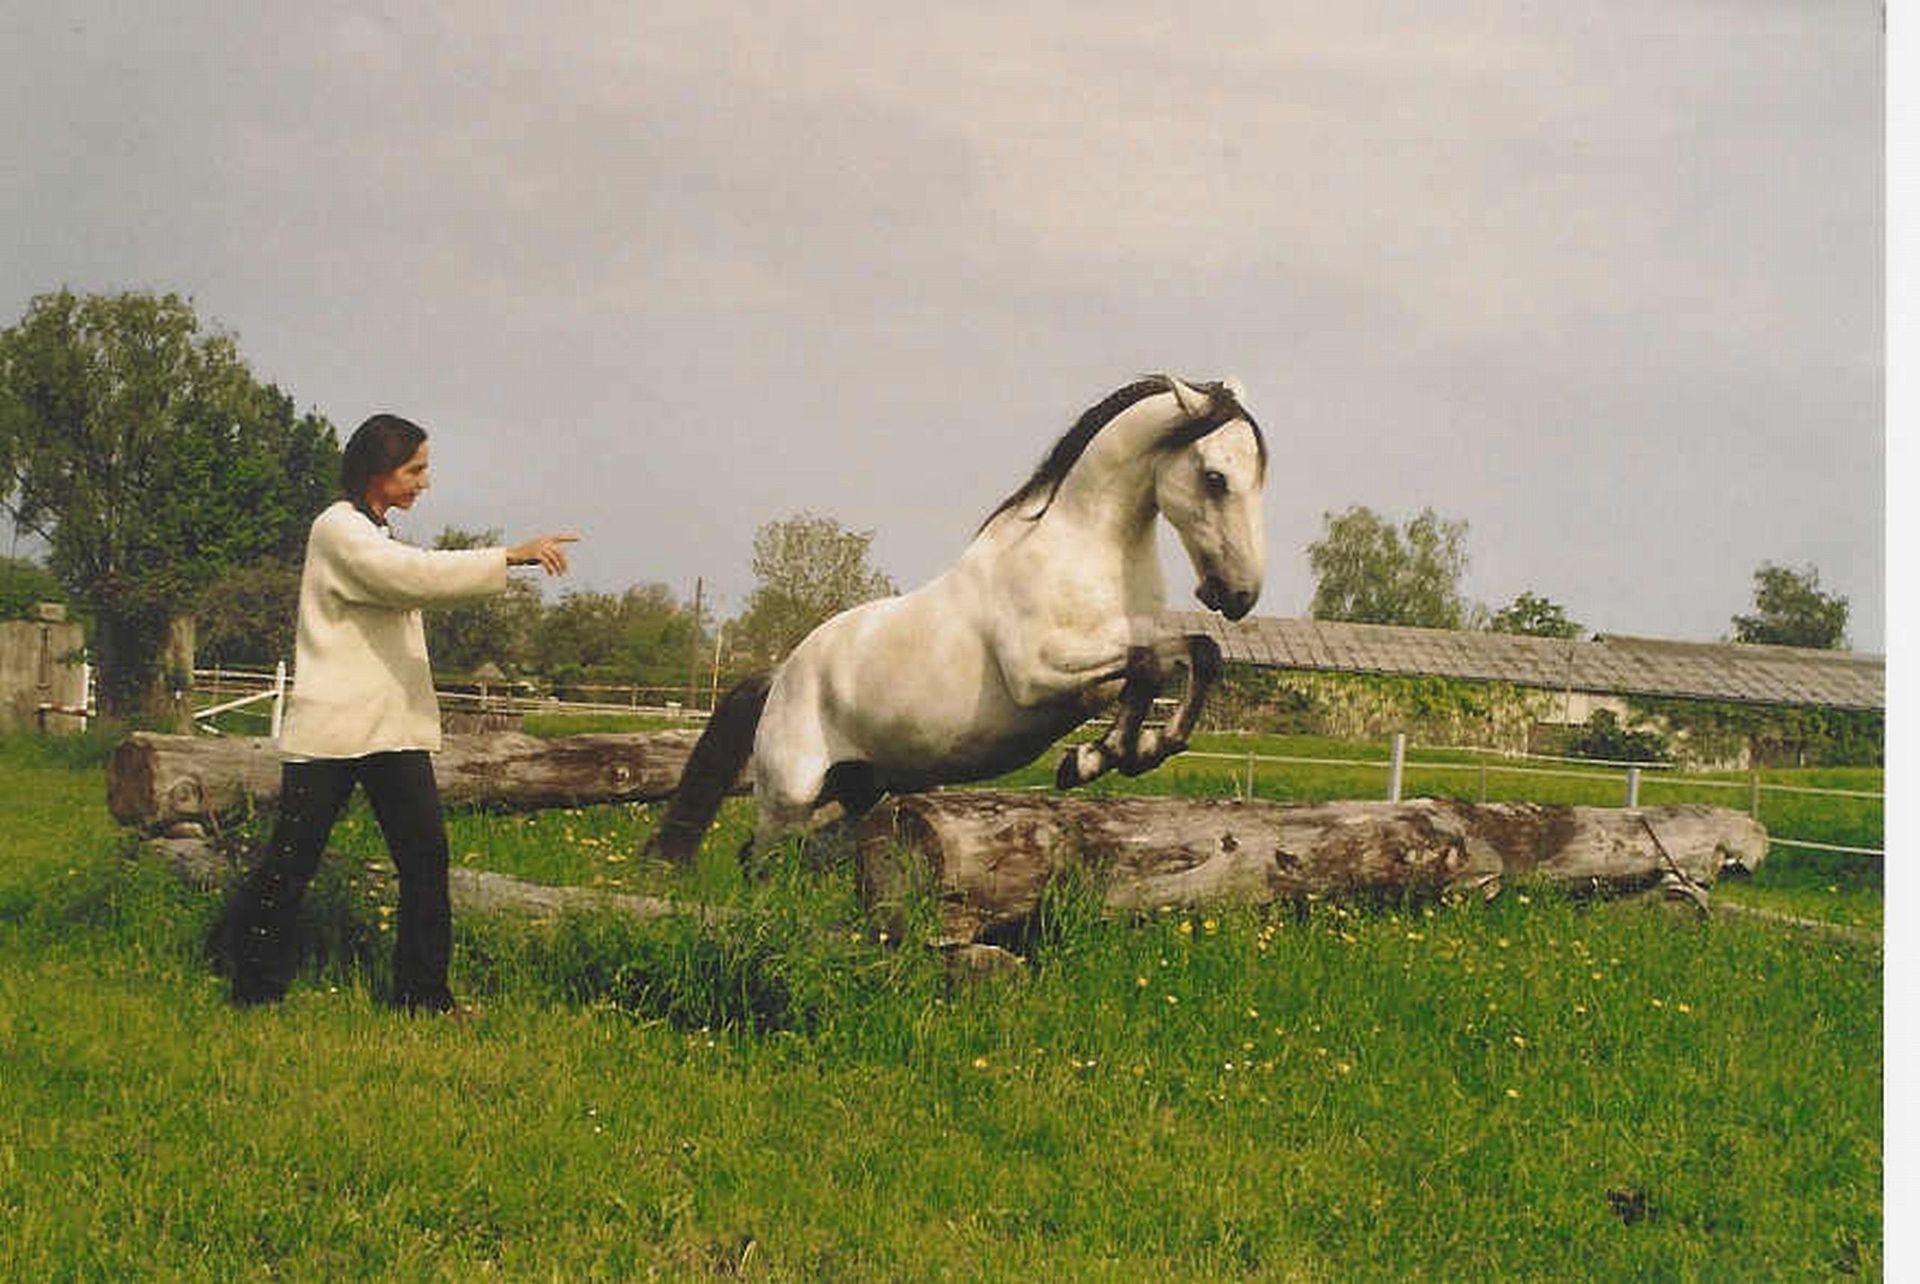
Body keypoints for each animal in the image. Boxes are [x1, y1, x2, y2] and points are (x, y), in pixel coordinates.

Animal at [654, 373, 1267, 863]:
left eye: (1260, 478)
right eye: (1215, 478)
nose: (1240, 594)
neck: (1081, 548)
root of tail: (781, 675)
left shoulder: (1110, 662)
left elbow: (1191, 656)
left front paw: (1130, 751)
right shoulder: (1040, 674)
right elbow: (1152, 666)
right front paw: (1095, 759)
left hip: (856, 788)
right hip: (790, 796)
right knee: (758, 859)